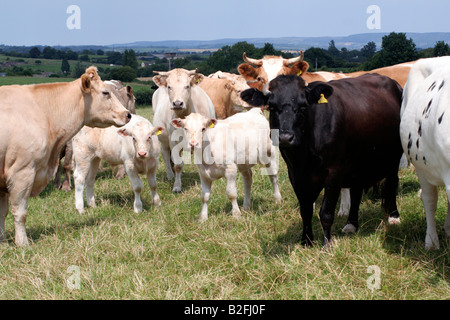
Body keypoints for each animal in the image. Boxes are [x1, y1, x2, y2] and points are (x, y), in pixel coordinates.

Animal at [0, 65, 131, 245]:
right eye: (106, 93)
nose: (128, 114)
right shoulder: (21, 172)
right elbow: (20, 212)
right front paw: (22, 243)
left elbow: (2, 213)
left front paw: (2, 240)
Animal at [243, 74, 404, 246]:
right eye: (272, 107)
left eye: (303, 106)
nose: (285, 138)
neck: (304, 156)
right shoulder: (295, 175)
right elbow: (305, 210)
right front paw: (306, 240)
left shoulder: (334, 172)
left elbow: (326, 212)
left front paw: (327, 243)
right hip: (358, 162)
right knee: (357, 190)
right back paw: (351, 224)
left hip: (393, 159)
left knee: (392, 184)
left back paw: (393, 217)